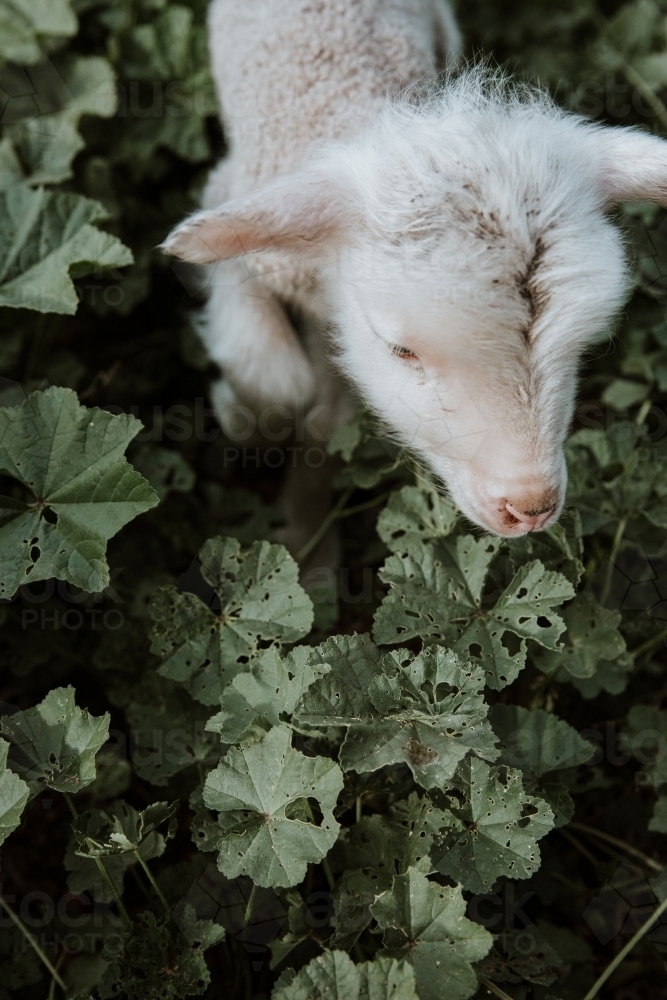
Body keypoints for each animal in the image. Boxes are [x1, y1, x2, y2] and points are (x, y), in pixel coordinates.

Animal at [163, 0, 667, 545]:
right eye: (401, 350)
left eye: (581, 347)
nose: (530, 507)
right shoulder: (232, 202)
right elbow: (280, 380)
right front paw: (242, 423)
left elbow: (325, 423)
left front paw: (305, 533)